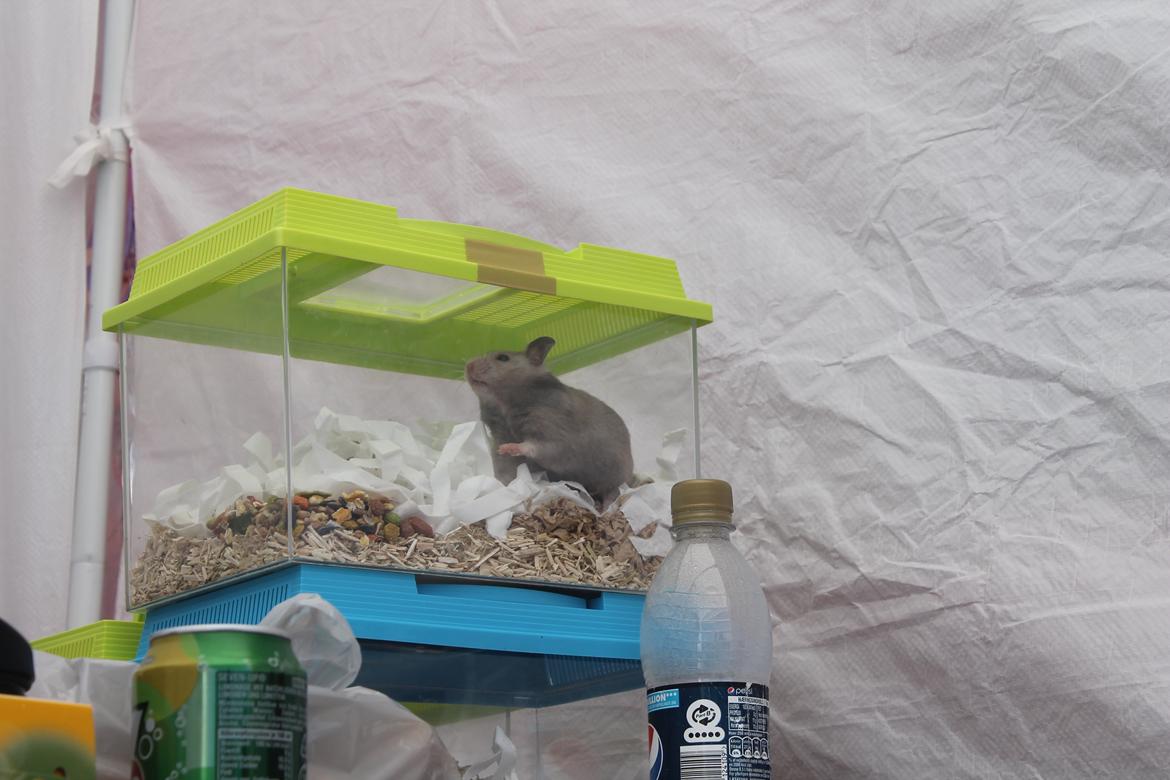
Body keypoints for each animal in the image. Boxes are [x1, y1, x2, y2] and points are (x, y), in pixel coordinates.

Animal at [465, 336, 634, 509]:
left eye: (503, 358)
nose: (468, 365)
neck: (504, 406)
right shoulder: (501, 442)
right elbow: (504, 470)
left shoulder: (554, 437)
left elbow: (532, 446)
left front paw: (508, 448)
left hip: (614, 476)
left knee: (613, 492)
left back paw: (604, 509)